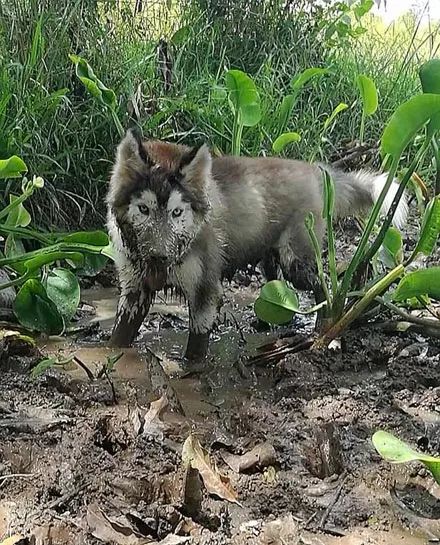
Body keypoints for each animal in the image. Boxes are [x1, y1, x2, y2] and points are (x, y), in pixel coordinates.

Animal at [106, 131, 410, 362]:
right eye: (143, 209)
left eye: (177, 213)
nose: (158, 258)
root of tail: (316, 169)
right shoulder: (134, 291)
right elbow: (117, 339)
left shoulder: (205, 292)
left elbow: (195, 350)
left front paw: (191, 373)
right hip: (271, 261)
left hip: (295, 263)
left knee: (325, 286)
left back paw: (324, 332)